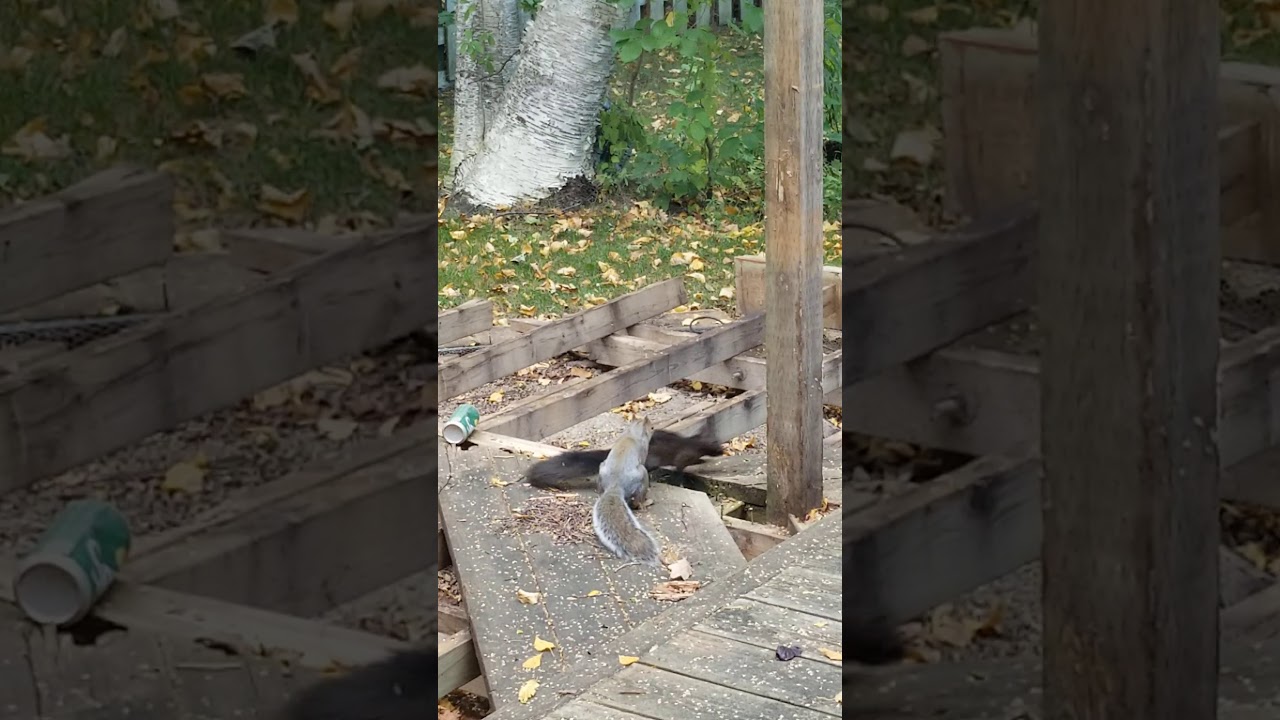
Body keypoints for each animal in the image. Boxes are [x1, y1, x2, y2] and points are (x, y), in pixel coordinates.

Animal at [591, 416, 663, 567]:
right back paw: (646, 502)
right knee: (638, 501)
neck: (632, 433)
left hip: (602, 468)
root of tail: (615, 485)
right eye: (652, 427)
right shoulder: (643, 451)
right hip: (642, 474)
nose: (655, 429)